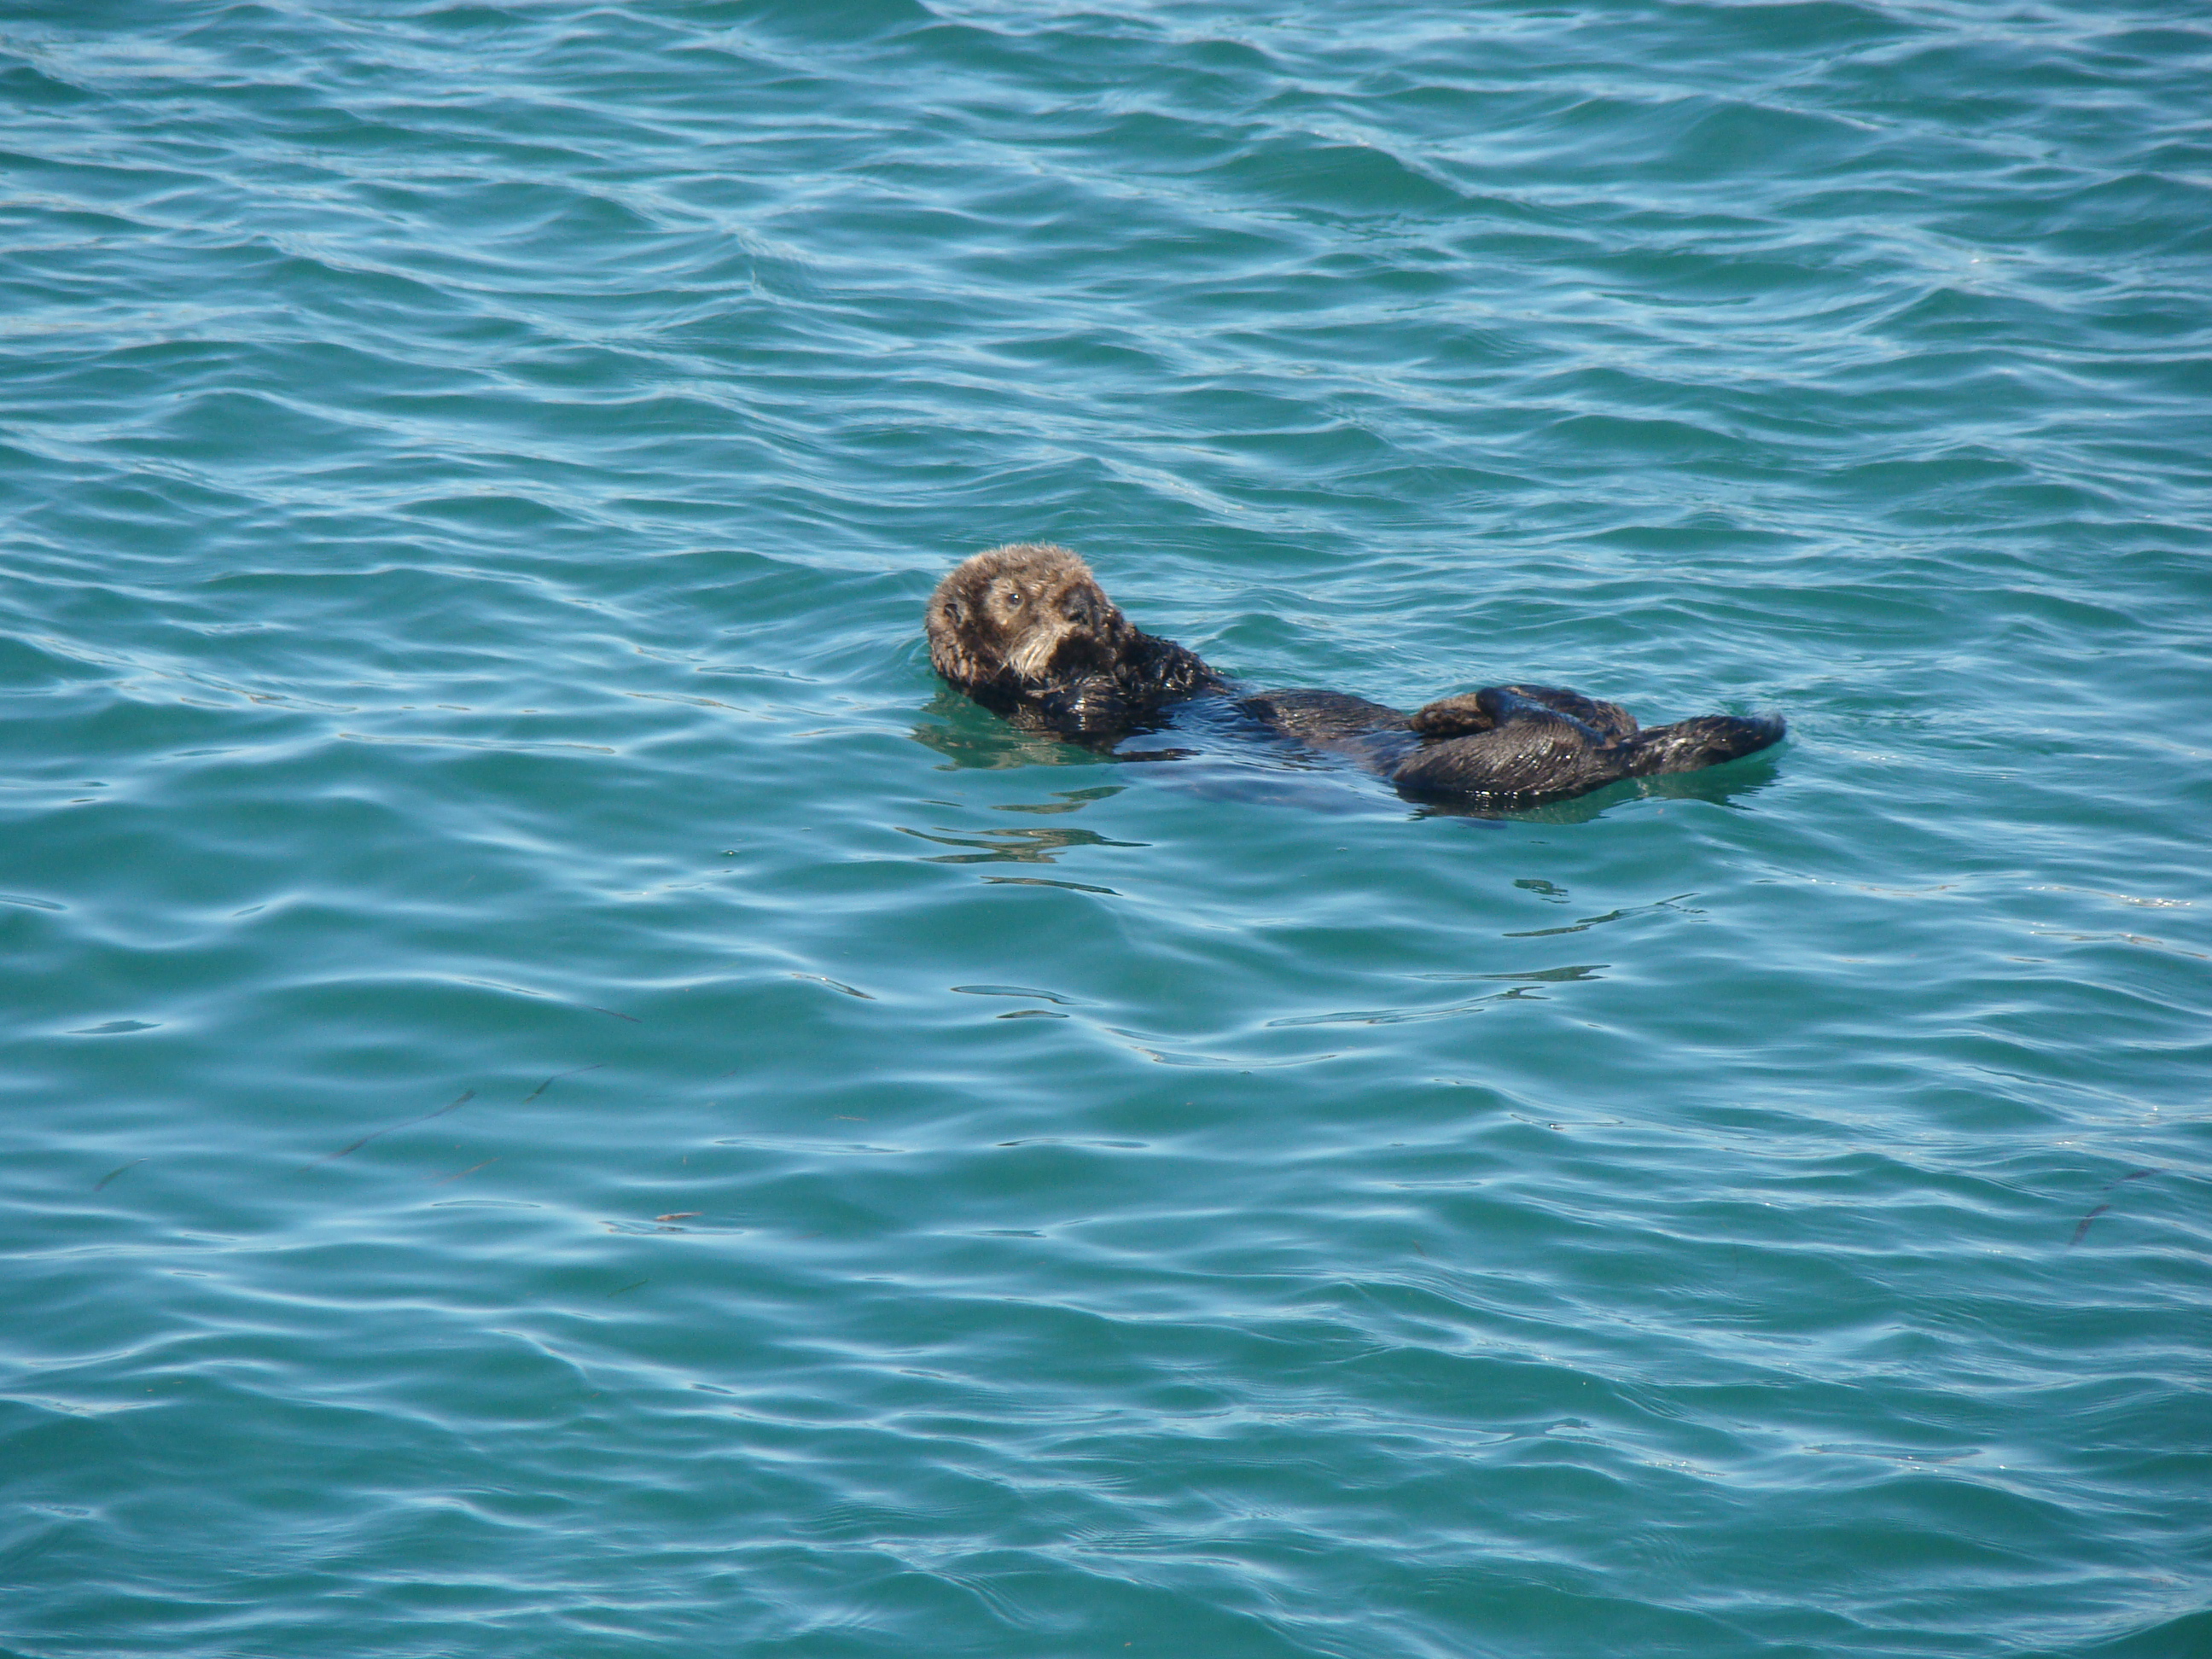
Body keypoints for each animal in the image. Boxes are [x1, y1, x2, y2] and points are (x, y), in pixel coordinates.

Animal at [924, 546, 1787, 805]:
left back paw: (1451, 704)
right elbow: (1075, 706)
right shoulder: (1038, 714)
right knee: (1541, 732)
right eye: (1014, 597)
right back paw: (1465, 706)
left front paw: (1138, 643)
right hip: (1468, 780)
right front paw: (1086, 677)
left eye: (1086, 576)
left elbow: (1180, 667)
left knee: (1596, 709)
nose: (1085, 605)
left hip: (1583, 720)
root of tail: (1624, 759)